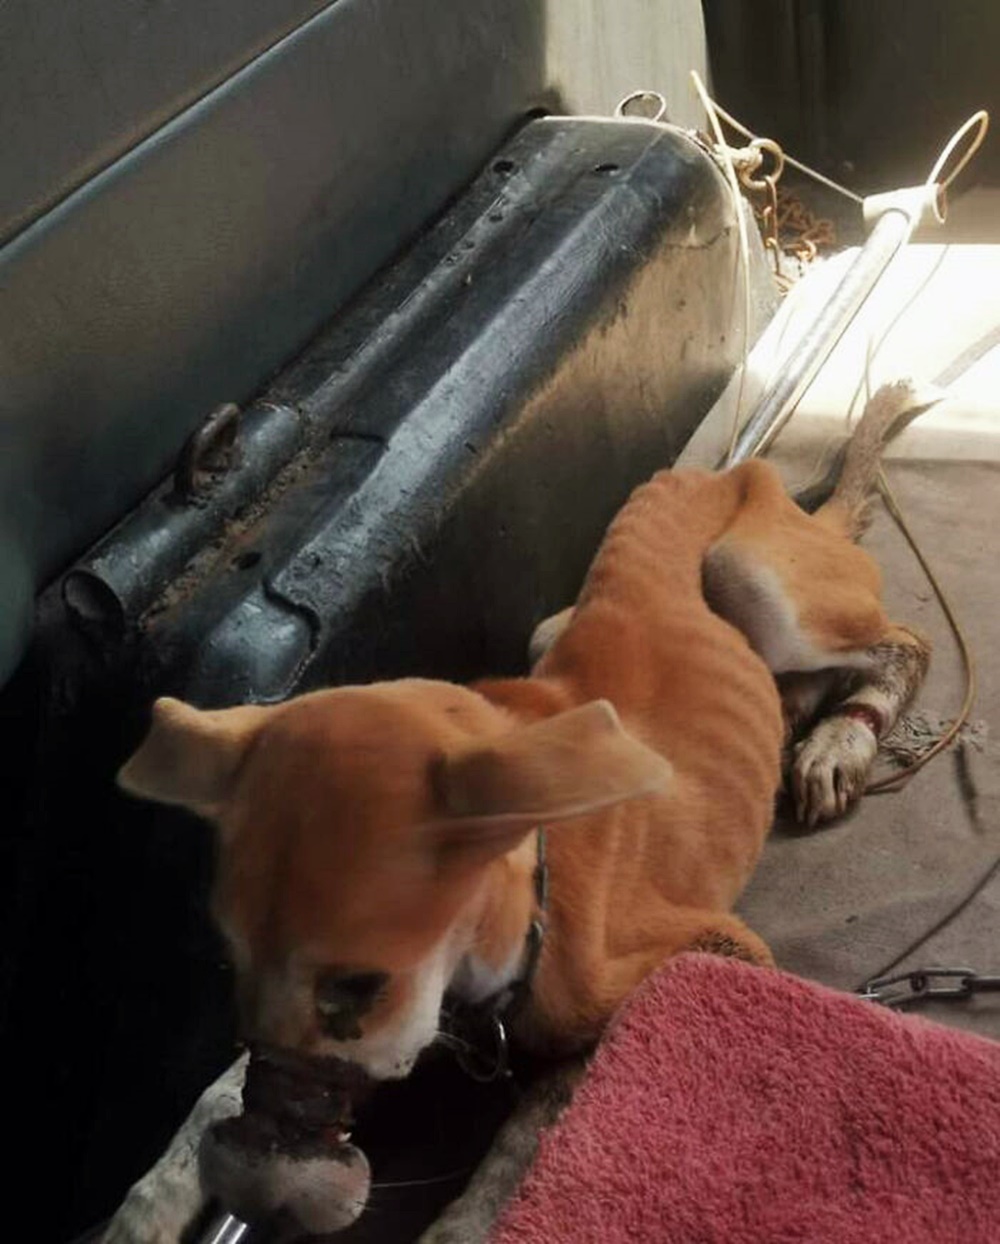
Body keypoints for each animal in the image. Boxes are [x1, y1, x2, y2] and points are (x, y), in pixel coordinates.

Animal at [107, 380, 931, 1243]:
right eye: (230, 962)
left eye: (362, 984)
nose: (262, 1191)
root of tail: (763, 487)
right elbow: (213, 1092)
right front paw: (144, 1208)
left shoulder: (704, 953)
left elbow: (528, 1136)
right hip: (556, 627)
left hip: (752, 575)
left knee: (905, 641)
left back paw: (839, 739)